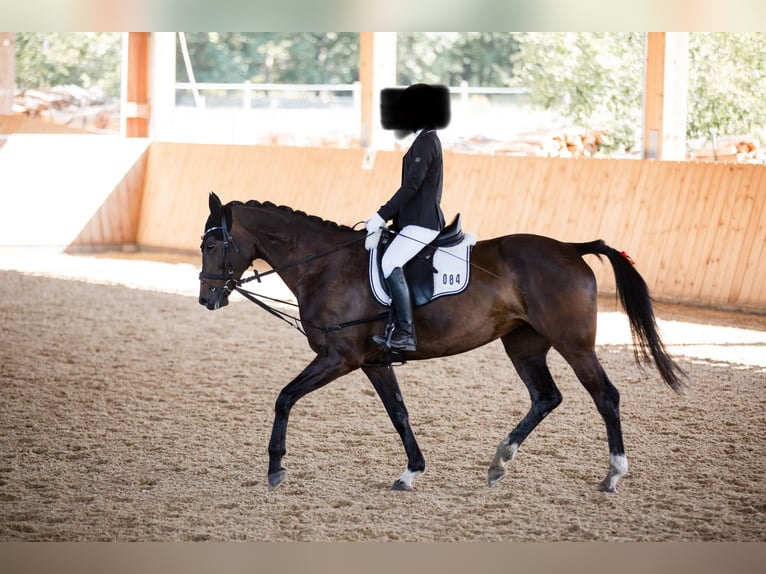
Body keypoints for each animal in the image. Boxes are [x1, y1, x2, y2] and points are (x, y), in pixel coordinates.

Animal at [198, 192, 685, 493]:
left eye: (212, 246)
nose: (206, 298)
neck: (325, 266)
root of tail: (570, 248)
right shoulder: (374, 362)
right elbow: (398, 414)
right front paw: (410, 472)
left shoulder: (340, 357)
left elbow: (284, 397)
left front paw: (275, 467)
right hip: (524, 344)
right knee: (546, 396)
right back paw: (499, 461)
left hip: (574, 345)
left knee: (606, 396)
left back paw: (613, 475)